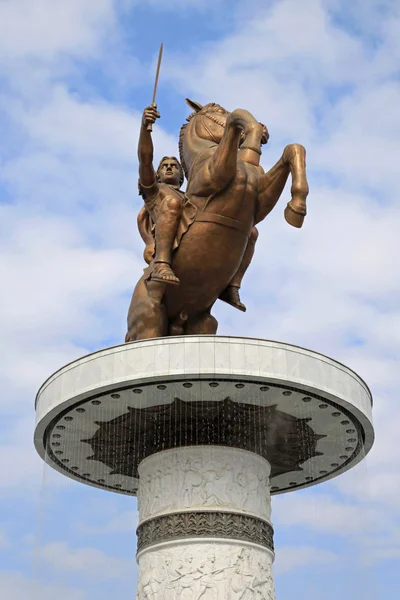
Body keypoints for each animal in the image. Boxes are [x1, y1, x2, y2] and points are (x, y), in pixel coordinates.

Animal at [126, 101, 308, 340]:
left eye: (172, 166)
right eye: (218, 110)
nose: (264, 131)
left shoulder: (261, 202)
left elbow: (293, 149)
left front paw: (296, 209)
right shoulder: (216, 173)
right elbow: (237, 117)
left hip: (203, 322)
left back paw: (233, 297)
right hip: (150, 318)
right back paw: (164, 274)